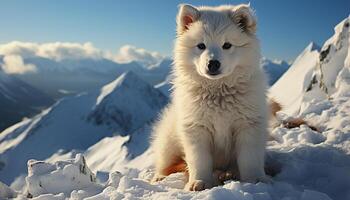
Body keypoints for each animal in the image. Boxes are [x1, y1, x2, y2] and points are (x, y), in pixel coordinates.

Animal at [152, 4, 270, 191]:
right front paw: (199, 182)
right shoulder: (196, 128)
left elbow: (249, 159)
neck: (218, 92)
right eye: (201, 45)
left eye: (227, 45)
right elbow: (199, 160)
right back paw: (159, 177)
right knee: (165, 164)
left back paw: (227, 174)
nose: (213, 64)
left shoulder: (248, 125)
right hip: (168, 142)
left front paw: (255, 180)